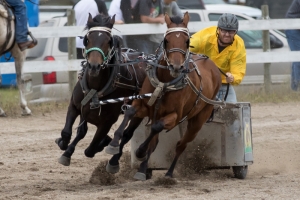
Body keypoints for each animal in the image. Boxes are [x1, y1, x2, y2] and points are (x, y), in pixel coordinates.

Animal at [55, 12, 148, 166]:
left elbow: (90, 149)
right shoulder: (75, 106)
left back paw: (114, 160)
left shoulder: (107, 122)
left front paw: (105, 142)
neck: (96, 88)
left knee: (127, 134)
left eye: (109, 41)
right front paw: (63, 145)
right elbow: (67, 132)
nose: (94, 66)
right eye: (87, 39)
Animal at [106, 12, 223, 180]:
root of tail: (213, 66)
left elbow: (156, 129)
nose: (176, 67)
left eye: (187, 41)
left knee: (181, 145)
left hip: (199, 120)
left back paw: (167, 173)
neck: (165, 83)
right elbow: (129, 113)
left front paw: (140, 152)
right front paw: (114, 146)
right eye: (167, 40)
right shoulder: (143, 105)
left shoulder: (174, 116)